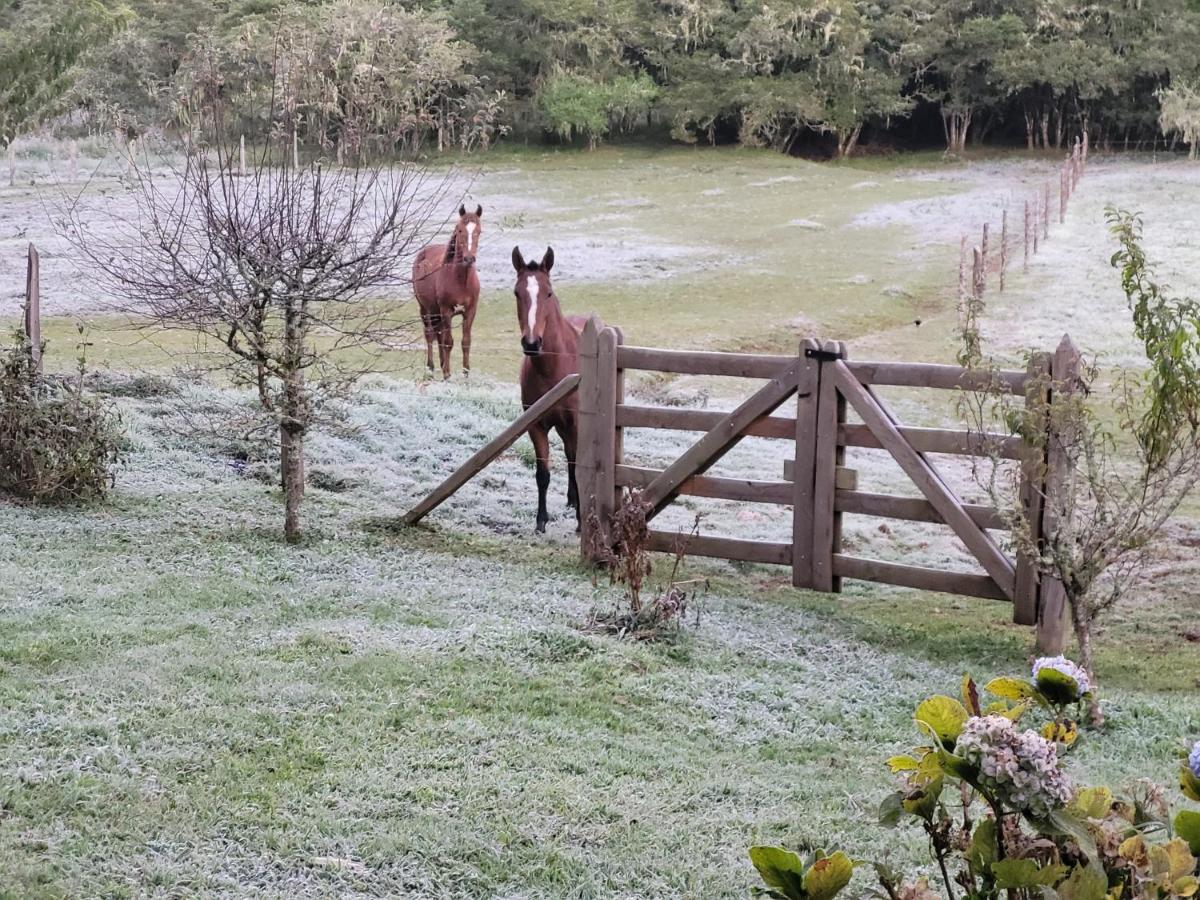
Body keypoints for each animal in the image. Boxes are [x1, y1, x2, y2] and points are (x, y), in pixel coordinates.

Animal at [412, 206, 482, 379]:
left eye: (479, 231)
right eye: (460, 230)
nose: (469, 259)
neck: (461, 280)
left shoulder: (470, 311)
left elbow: (465, 342)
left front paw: (466, 374)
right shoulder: (447, 311)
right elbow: (449, 342)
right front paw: (447, 374)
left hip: (436, 312)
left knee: (439, 335)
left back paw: (442, 363)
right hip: (426, 309)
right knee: (430, 334)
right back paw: (431, 368)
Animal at [516, 243, 590, 532]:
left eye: (548, 292)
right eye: (517, 293)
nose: (531, 343)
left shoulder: (577, 424)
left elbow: (578, 467)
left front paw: (581, 523)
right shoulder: (536, 425)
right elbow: (542, 474)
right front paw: (540, 521)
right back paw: (572, 500)